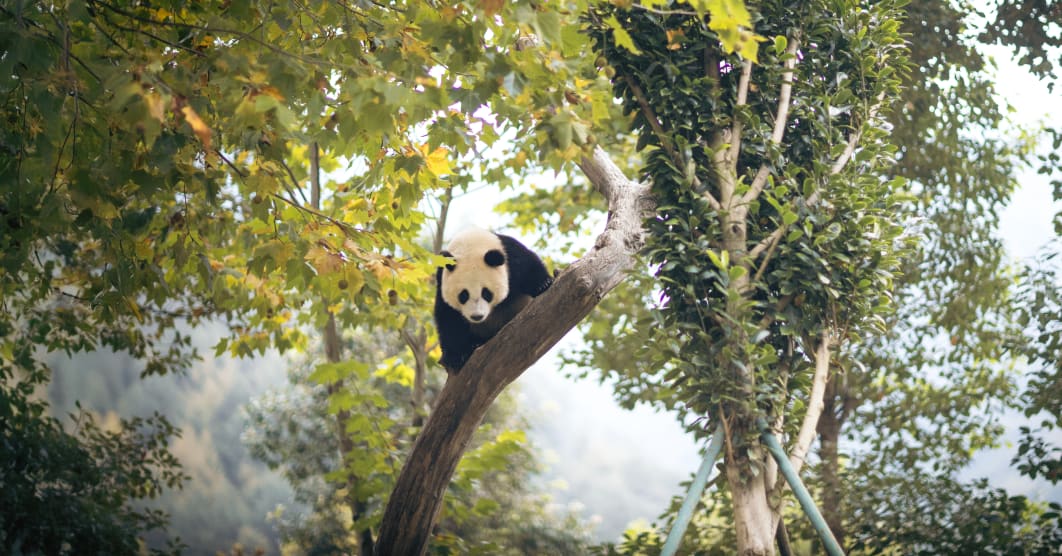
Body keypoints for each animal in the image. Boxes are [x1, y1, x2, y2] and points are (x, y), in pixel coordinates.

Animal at [434, 227, 553, 372]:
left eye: (486, 293)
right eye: (463, 295)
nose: (477, 316)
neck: (471, 244)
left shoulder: (510, 255)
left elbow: (528, 265)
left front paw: (543, 284)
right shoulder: (441, 279)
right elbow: (448, 318)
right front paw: (456, 356)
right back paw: (474, 344)